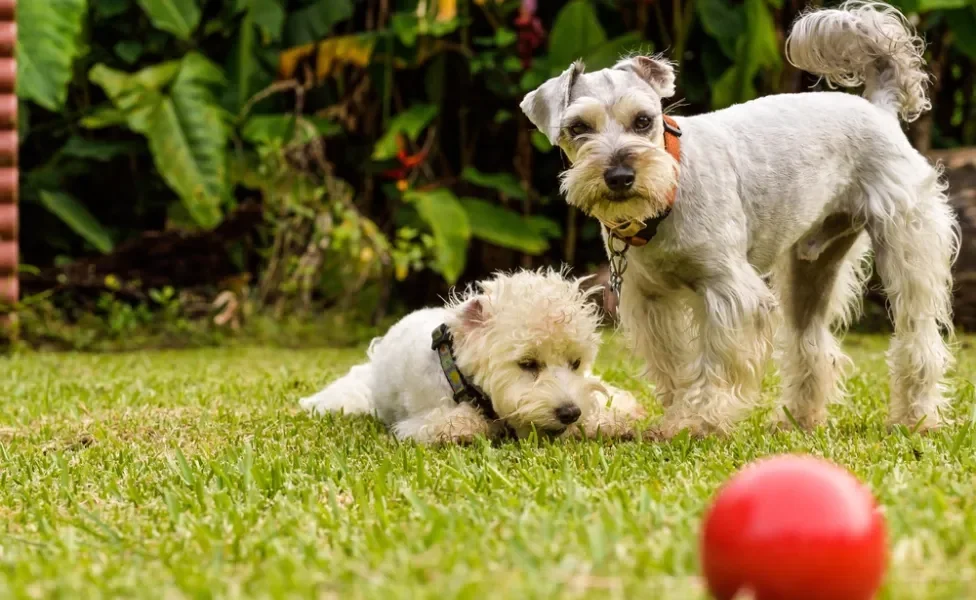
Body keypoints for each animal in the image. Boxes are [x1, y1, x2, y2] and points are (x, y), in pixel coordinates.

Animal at [302, 270, 644, 442]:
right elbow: (463, 425)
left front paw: (610, 418)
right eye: (527, 364)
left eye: (575, 363)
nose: (570, 413)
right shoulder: (420, 422)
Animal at [524, 2, 956, 438]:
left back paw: (917, 418)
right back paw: (800, 419)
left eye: (643, 120)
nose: (619, 176)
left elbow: (714, 365)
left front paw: (697, 420)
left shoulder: (728, 291)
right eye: (578, 127)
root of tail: (879, 109)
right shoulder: (651, 301)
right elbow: (674, 368)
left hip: (908, 251)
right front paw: (677, 415)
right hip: (810, 268)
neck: (669, 191)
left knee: (919, 339)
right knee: (810, 345)